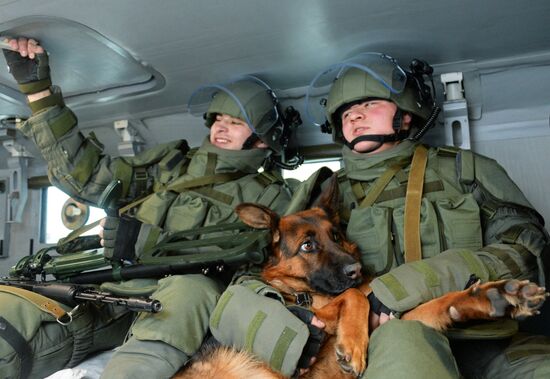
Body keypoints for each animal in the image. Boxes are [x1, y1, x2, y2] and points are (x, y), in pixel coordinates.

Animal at [176, 175, 548, 379]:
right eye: (308, 245)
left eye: (336, 236)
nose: (356, 270)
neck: (306, 294)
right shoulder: (319, 321)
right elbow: (353, 296)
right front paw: (354, 344)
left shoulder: (389, 319)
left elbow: (437, 305)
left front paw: (493, 295)